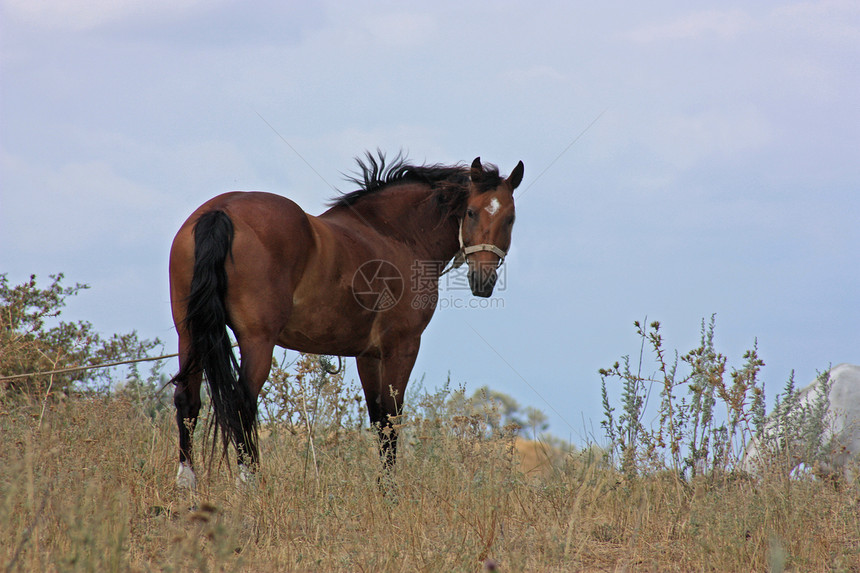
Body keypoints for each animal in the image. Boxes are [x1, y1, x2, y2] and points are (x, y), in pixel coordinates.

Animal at [166, 153, 516, 488]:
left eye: (510, 218)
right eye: (470, 212)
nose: (483, 281)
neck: (395, 235)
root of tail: (220, 211)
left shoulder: (368, 355)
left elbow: (378, 420)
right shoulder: (401, 347)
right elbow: (392, 419)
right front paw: (389, 493)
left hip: (189, 333)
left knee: (187, 400)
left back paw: (186, 481)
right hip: (257, 340)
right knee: (242, 402)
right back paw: (249, 482)